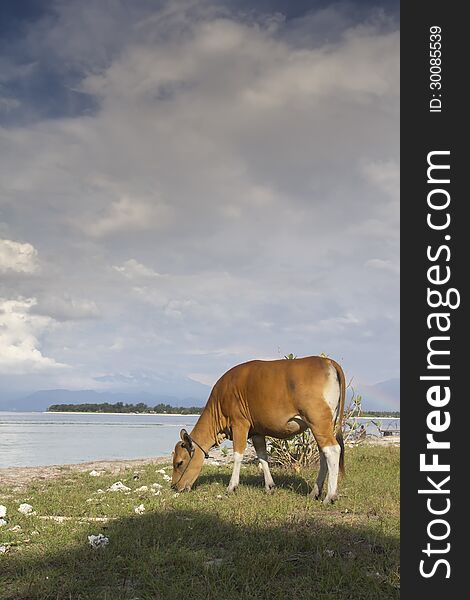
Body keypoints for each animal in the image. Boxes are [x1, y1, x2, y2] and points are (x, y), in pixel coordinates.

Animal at [172, 354, 346, 504]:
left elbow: (238, 455)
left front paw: (232, 486)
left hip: (318, 420)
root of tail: (327, 361)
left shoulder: (240, 423)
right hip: (322, 424)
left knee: (332, 450)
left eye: (179, 463)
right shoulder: (257, 432)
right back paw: (315, 492)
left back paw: (330, 496)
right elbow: (262, 456)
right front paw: (269, 486)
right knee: (323, 453)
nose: (174, 486)